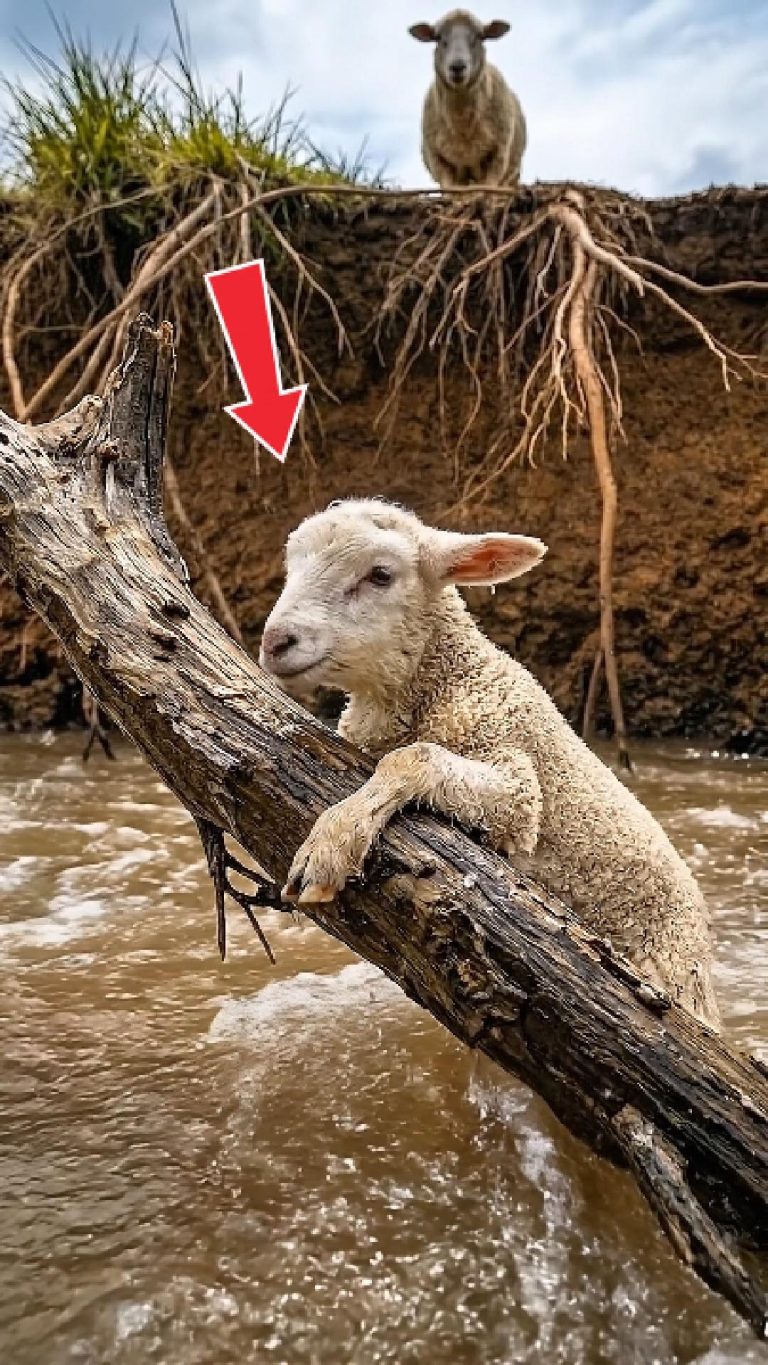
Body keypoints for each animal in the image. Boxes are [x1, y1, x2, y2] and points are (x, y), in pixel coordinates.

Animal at [259, 499, 721, 1032]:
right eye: (291, 564)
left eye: (380, 575)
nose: (276, 641)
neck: (452, 679)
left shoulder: (517, 783)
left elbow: (412, 758)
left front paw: (332, 843)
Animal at [409, 10, 527, 189]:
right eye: (438, 37)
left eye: (480, 36)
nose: (457, 66)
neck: (462, 124)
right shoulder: (439, 162)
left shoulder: (499, 157)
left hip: (512, 173)